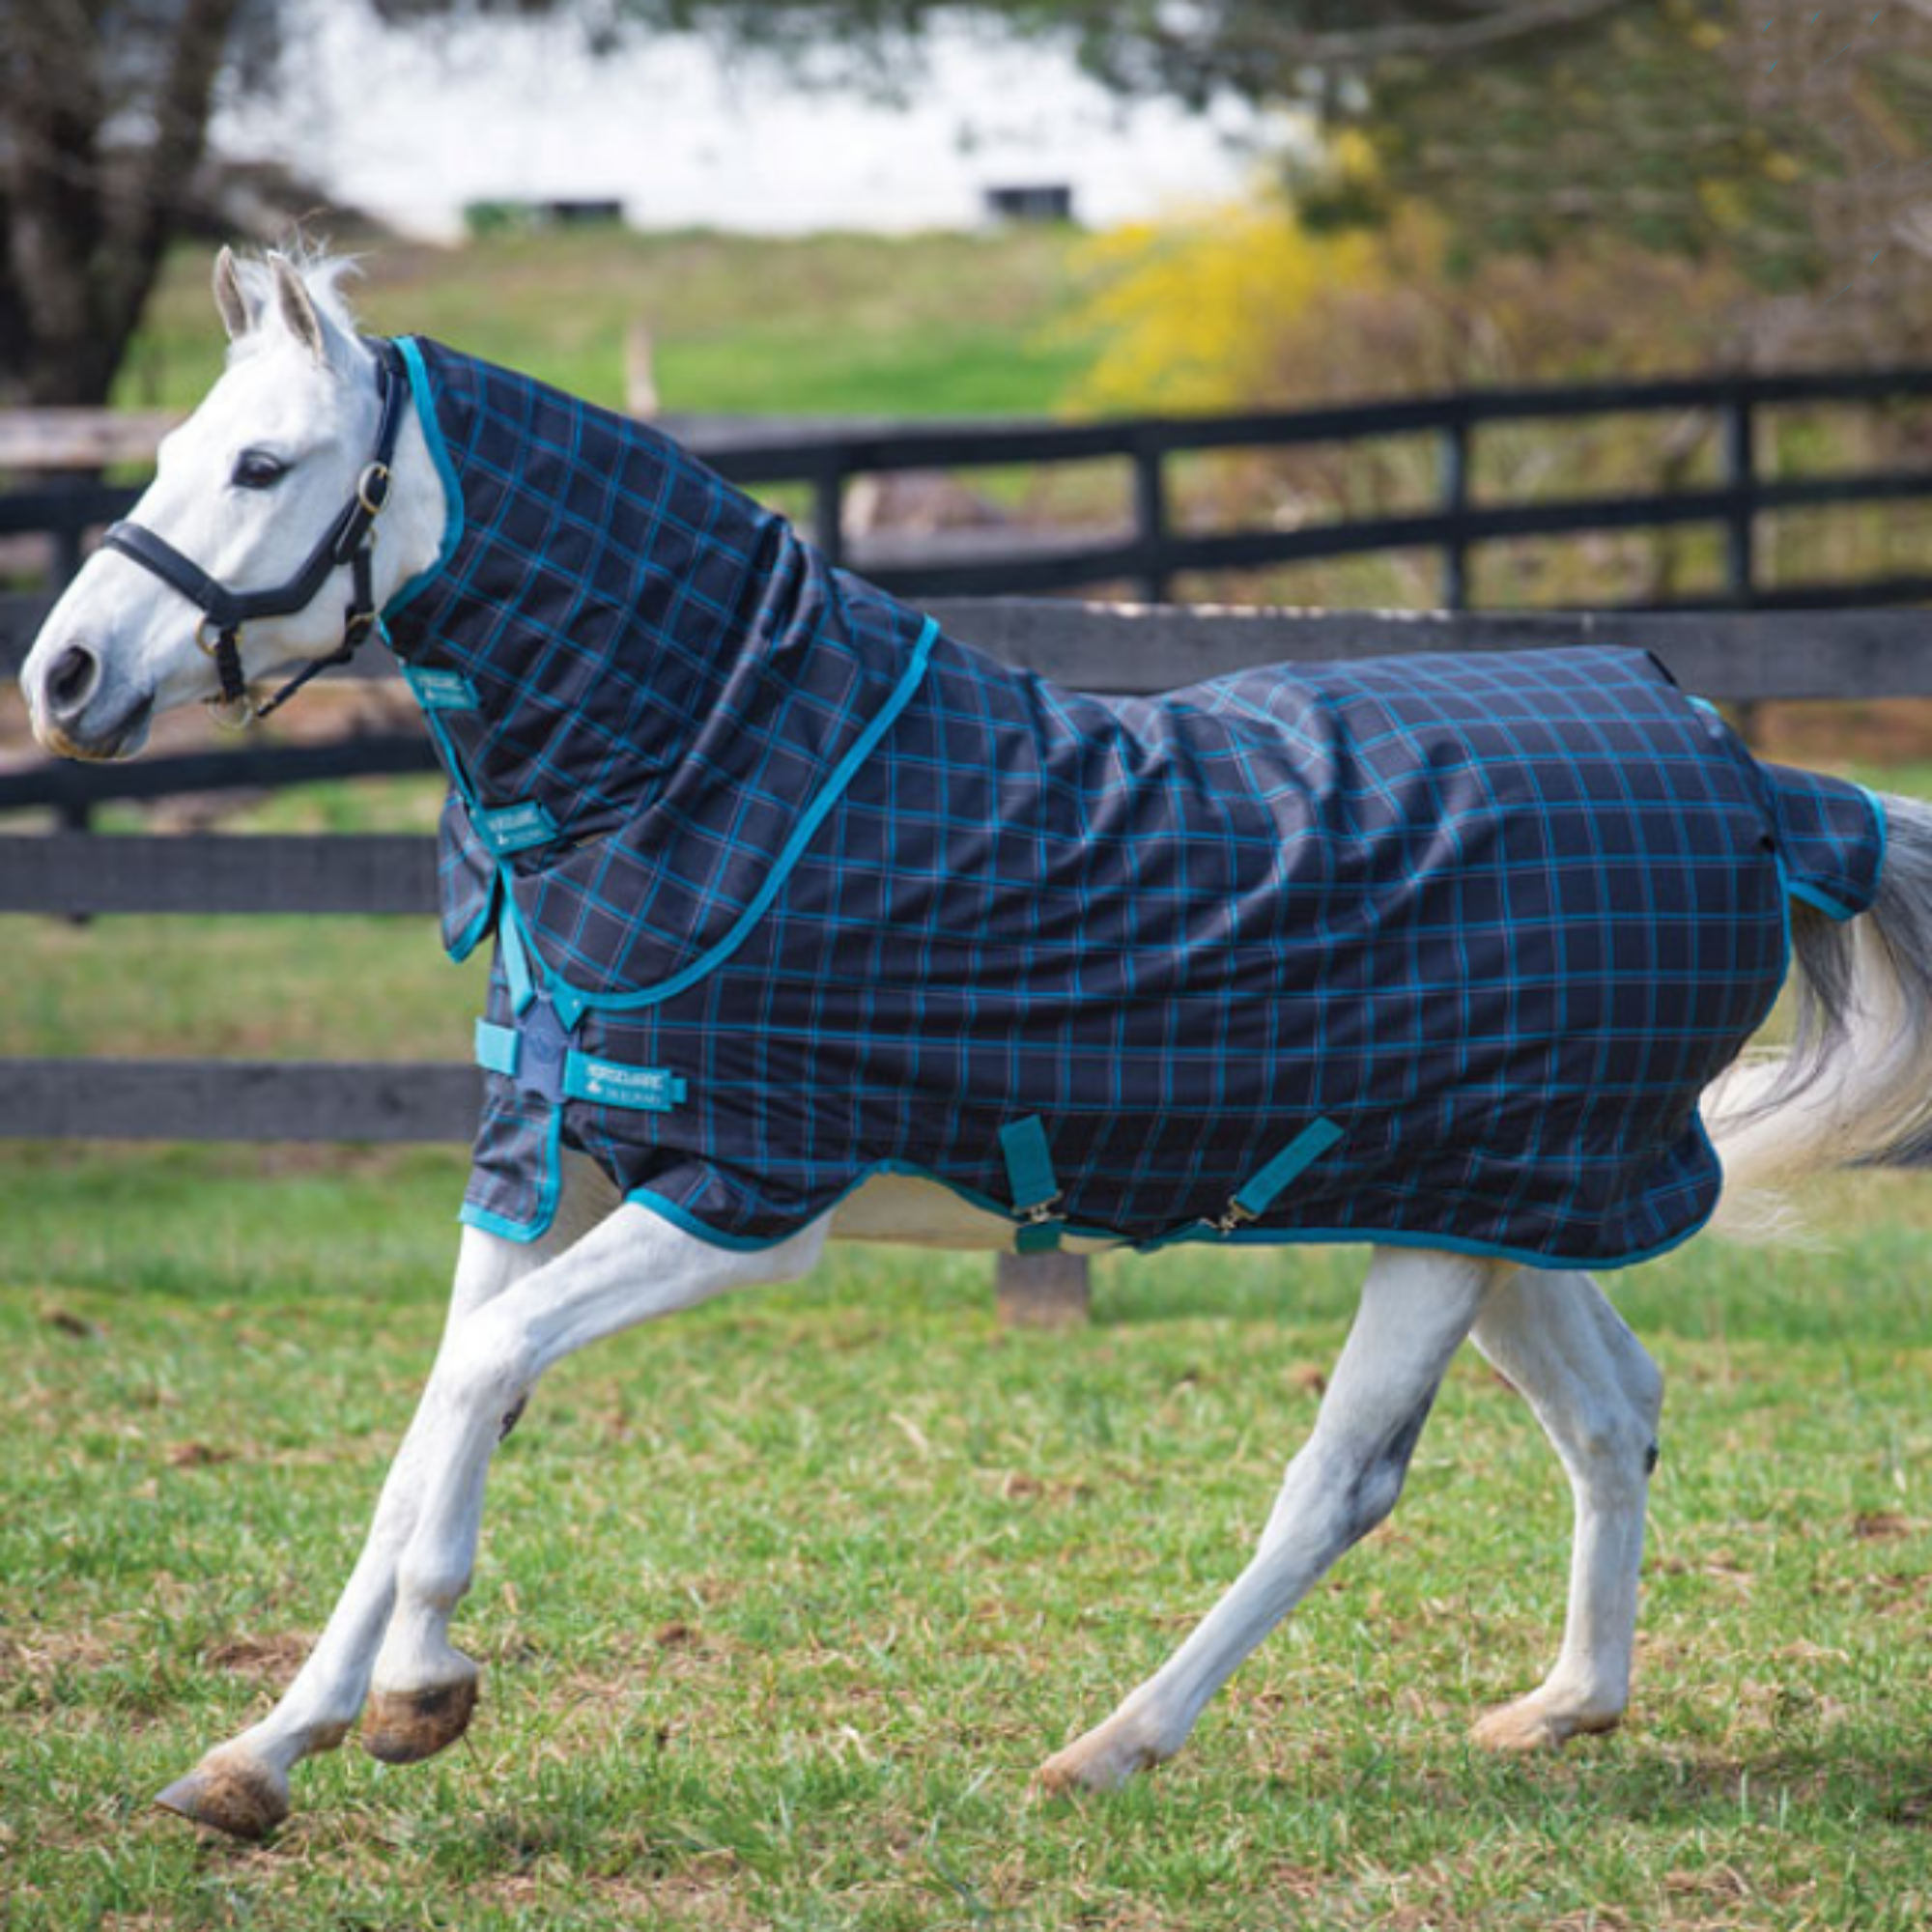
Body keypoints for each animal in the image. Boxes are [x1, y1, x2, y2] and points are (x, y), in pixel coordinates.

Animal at [20, 247, 1932, 1844]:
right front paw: (263, 1755)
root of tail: (1759, 780)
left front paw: (424, 1696)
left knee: (1345, 1483)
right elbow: (428, 1428)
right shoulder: (545, 1166)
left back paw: (1115, 1746)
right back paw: (1561, 1709)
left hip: (1459, 1221)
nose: (62, 678)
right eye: (179, 446)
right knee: (1616, 1413)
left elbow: (481, 1384)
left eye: (263, 469)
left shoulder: (746, 1198)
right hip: (1492, 1213)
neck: (712, 763)